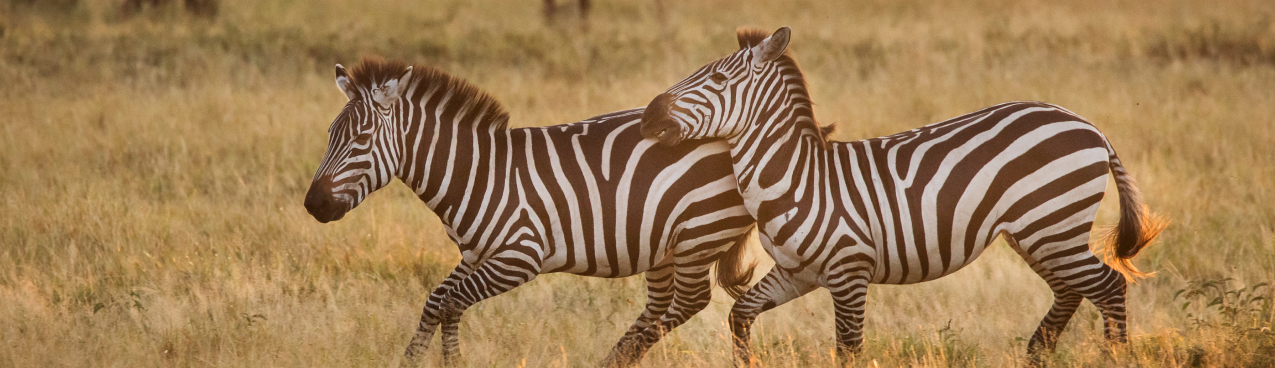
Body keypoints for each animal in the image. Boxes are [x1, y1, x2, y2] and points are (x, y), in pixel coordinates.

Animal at [299, 57, 759, 364]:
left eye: (361, 140)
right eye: (330, 134)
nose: (313, 204)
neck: (479, 173)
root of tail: (730, 131)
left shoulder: (519, 258)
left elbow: (450, 304)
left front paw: (451, 362)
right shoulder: (475, 254)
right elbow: (436, 301)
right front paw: (411, 361)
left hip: (700, 230)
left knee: (691, 301)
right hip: (664, 244)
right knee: (661, 306)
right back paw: (615, 360)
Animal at [637, 26, 1167, 364]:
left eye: (717, 79)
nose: (647, 115)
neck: (795, 178)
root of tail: (1085, 123)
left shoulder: (850, 271)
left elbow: (848, 351)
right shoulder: (797, 272)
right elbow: (741, 315)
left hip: (1051, 223)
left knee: (1108, 286)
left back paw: (1113, 357)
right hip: (1040, 232)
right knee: (1072, 288)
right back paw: (1036, 354)